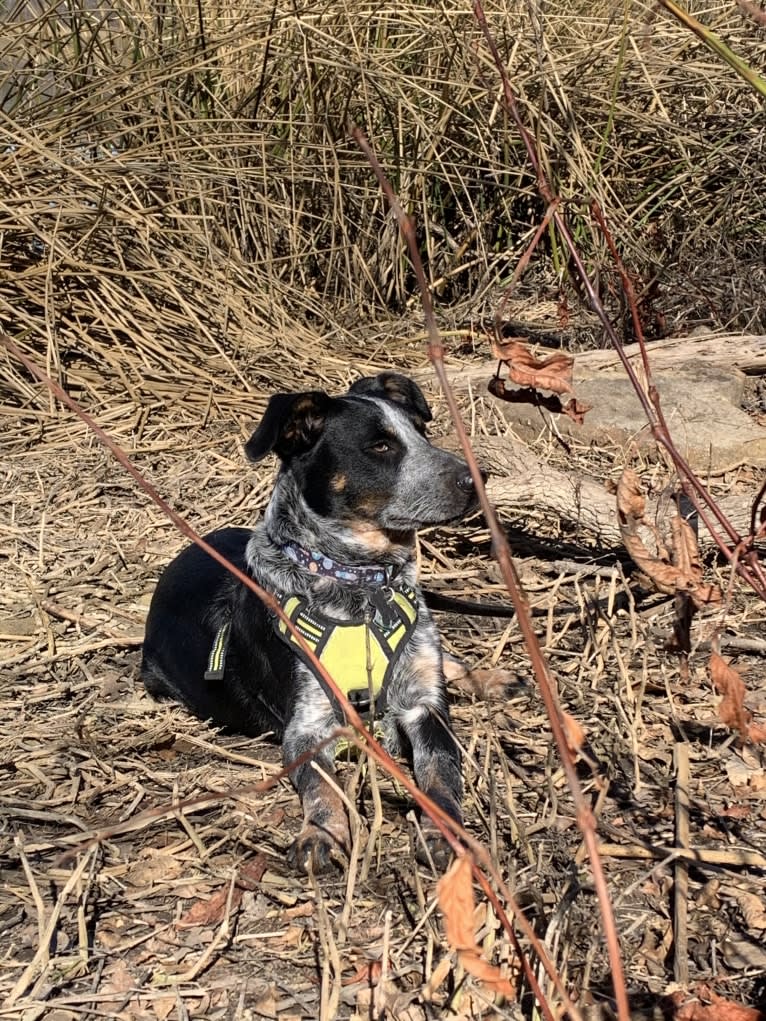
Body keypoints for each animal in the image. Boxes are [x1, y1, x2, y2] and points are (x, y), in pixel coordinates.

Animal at [140, 371, 482, 873]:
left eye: (422, 432)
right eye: (380, 446)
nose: (476, 479)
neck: (360, 585)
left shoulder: (425, 704)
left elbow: (440, 775)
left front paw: (445, 833)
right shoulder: (308, 723)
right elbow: (322, 786)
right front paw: (321, 834)